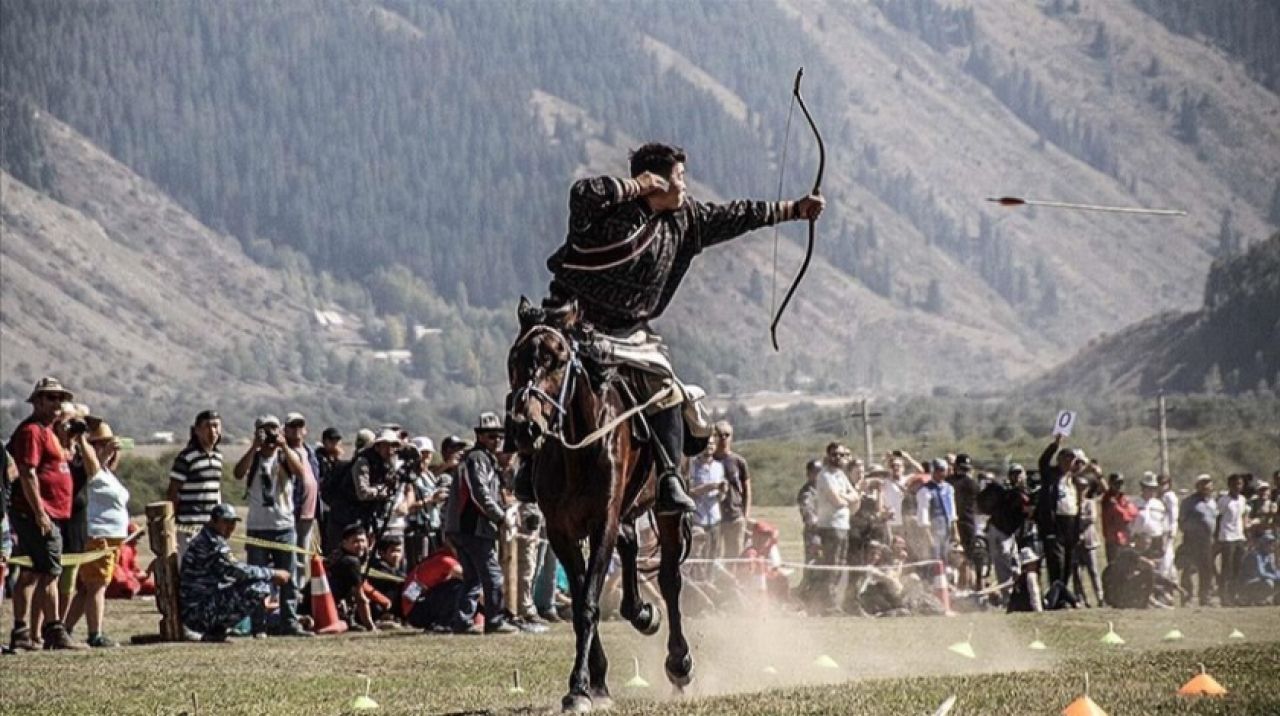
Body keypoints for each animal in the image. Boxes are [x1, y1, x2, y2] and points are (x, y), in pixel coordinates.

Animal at [506, 295, 696, 712]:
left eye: (558, 359)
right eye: (514, 359)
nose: (524, 427)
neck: (578, 450)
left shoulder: (601, 522)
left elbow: (590, 602)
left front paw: (580, 688)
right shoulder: (561, 531)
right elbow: (581, 602)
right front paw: (593, 684)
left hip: (665, 511)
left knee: (670, 579)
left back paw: (679, 663)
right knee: (631, 546)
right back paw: (641, 613)